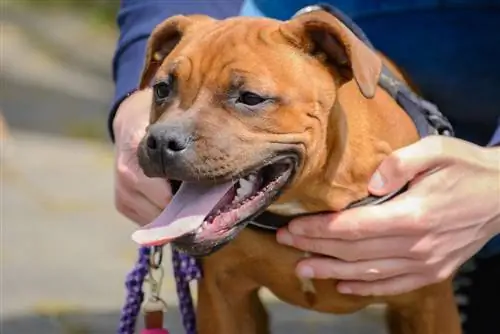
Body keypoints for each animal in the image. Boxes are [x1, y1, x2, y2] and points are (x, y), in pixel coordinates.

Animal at [132, 7, 460, 334]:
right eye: (162, 89)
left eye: (250, 98)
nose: (161, 142)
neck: (305, 202)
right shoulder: (224, 300)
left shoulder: (429, 303)